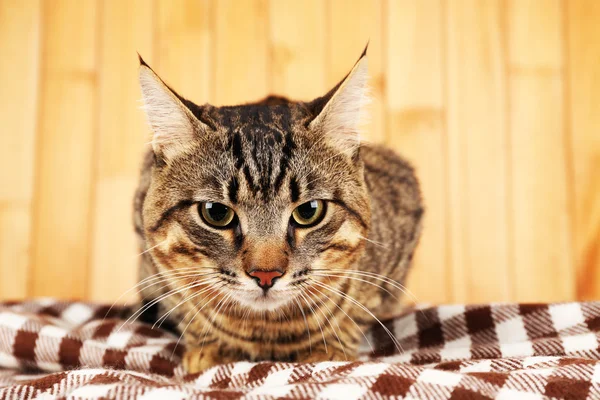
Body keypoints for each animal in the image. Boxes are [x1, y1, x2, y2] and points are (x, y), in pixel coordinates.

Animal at [132, 47, 422, 376]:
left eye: (308, 211)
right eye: (216, 213)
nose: (266, 274)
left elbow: (357, 314)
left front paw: (331, 348)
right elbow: (182, 300)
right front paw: (209, 346)